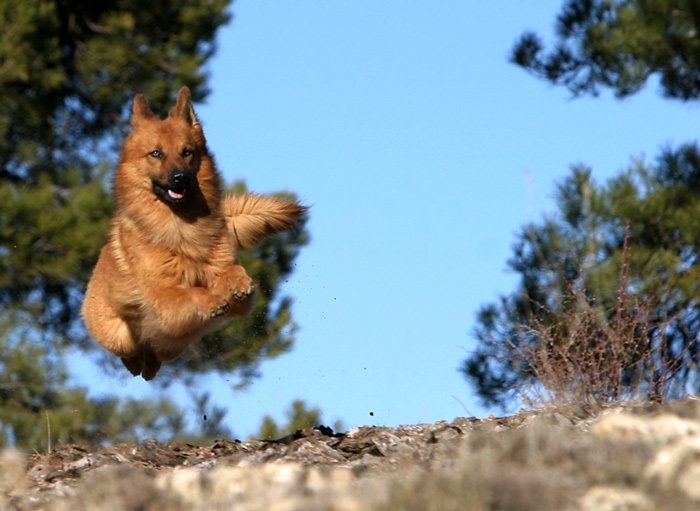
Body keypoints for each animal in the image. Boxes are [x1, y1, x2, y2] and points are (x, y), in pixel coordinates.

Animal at [81, 88, 304, 382]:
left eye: (187, 152)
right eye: (156, 153)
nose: (180, 178)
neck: (181, 227)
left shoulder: (226, 281)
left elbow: (231, 271)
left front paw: (239, 283)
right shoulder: (164, 295)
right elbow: (193, 293)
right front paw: (211, 301)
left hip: (168, 345)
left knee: (153, 355)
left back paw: (148, 368)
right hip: (118, 336)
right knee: (131, 351)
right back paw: (135, 365)